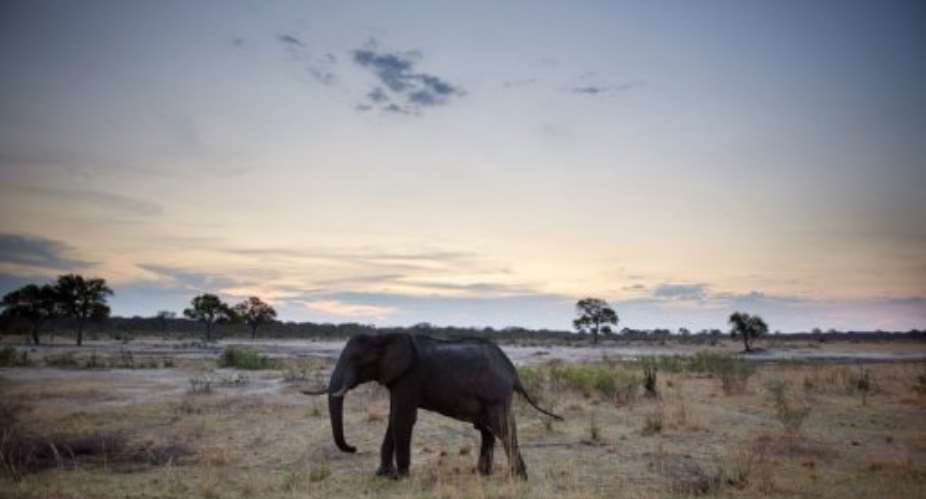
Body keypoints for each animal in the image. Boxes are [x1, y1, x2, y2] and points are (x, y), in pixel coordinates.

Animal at [302, 333, 562, 479]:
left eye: (357, 360)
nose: (354, 448)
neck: (384, 337)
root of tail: (513, 371)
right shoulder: (398, 380)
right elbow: (394, 417)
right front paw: (382, 475)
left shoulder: (409, 377)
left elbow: (403, 418)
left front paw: (400, 477)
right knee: (487, 431)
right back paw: (482, 474)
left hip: (496, 395)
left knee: (503, 429)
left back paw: (518, 478)